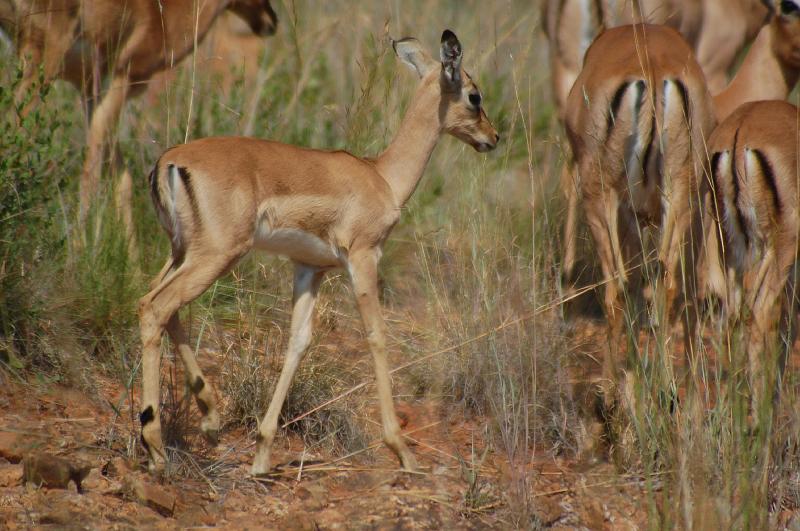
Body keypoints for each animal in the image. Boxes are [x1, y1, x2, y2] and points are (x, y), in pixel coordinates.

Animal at [2, 0, 277, 221]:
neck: (163, 17)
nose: (271, 20)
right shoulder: (121, 82)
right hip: (40, 64)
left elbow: (121, 179)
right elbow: (92, 175)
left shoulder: (90, 92)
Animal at [137, 30, 499, 475]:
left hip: (182, 252)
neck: (381, 177)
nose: (493, 138)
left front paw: (262, 454)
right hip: (215, 255)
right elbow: (376, 335)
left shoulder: (310, 268)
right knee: (157, 306)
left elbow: (298, 340)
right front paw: (403, 451)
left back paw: (209, 419)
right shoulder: (363, 257)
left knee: (156, 303)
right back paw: (156, 445)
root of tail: (168, 162)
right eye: (474, 95)